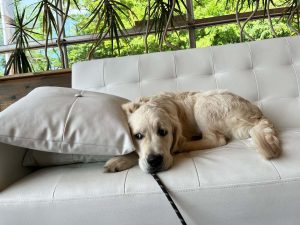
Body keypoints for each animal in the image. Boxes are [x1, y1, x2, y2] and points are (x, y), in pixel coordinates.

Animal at [103, 90, 282, 173]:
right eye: (138, 136)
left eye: (163, 132)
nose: (154, 161)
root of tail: (258, 115)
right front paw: (121, 159)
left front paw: (120, 160)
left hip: (202, 105)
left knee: (216, 139)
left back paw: (183, 145)